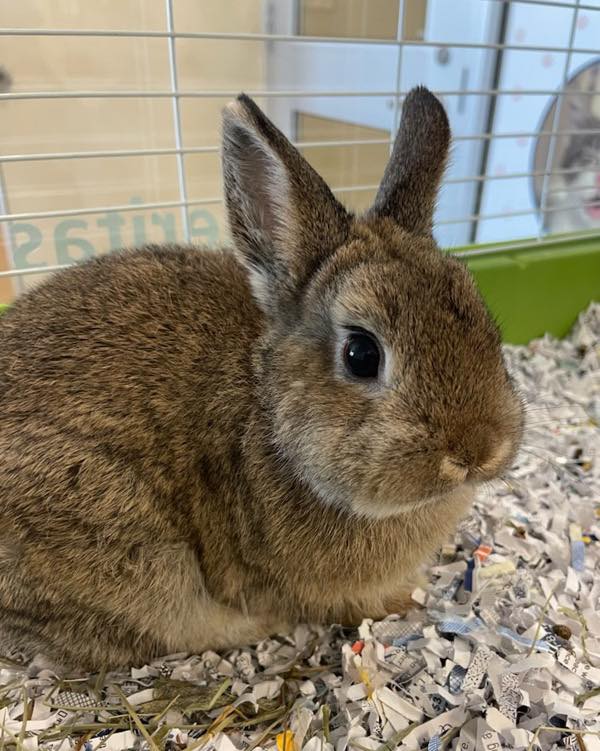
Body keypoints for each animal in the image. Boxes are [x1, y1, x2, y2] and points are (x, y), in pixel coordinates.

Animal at [0, 87, 524, 670]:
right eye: (361, 354)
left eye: (483, 320)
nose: (478, 451)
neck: (270, 413)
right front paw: (404, 599)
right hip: (130, 551)